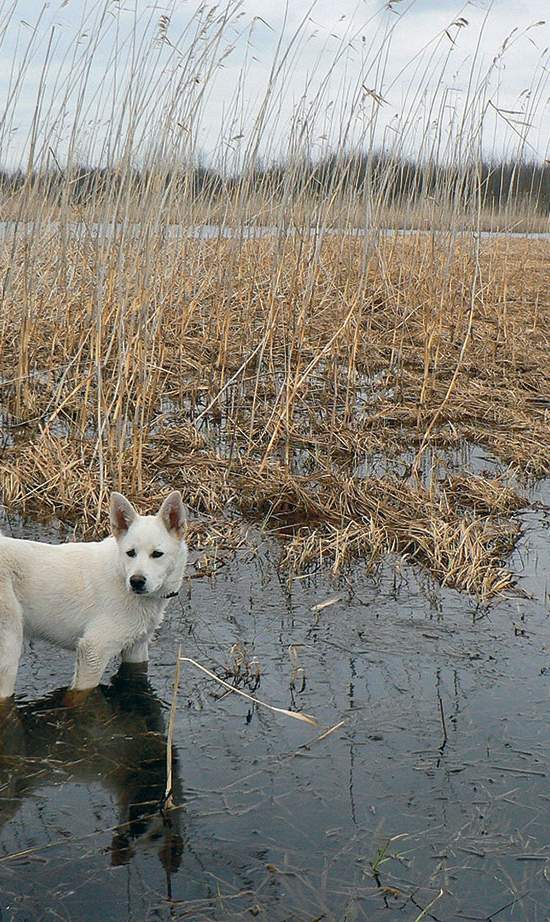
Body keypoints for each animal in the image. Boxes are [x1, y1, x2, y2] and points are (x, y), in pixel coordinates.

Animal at [0, 488, 188, 696]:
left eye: (157, 554)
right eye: (130, 553)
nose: (136, 581)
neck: (121, 574)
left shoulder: (136, 647)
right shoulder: (93, 650)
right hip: (9, 650)